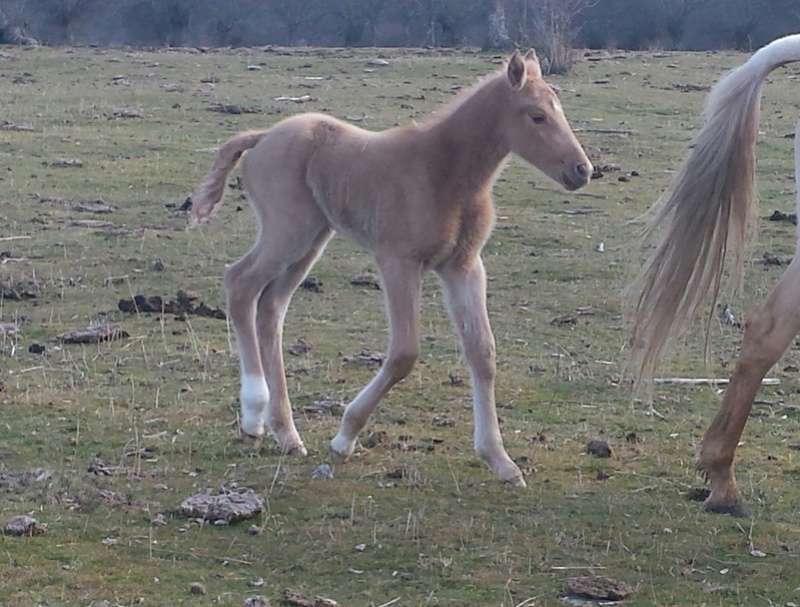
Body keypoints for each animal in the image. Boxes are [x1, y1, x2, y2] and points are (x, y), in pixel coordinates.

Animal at [191, 47, 592, 486]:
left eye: (559, 109)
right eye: (537, 116)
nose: (582, 170)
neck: (443, 170)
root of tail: (262, 136)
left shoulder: (463, 266)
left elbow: (482, 352)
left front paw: (501, 461)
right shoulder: (398, 261)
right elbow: (404, 353)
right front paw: (344, 437)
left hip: (312, 239)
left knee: (271, 308)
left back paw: (286, 434)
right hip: (287, 232)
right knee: (240, 283)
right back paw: (253, 416)